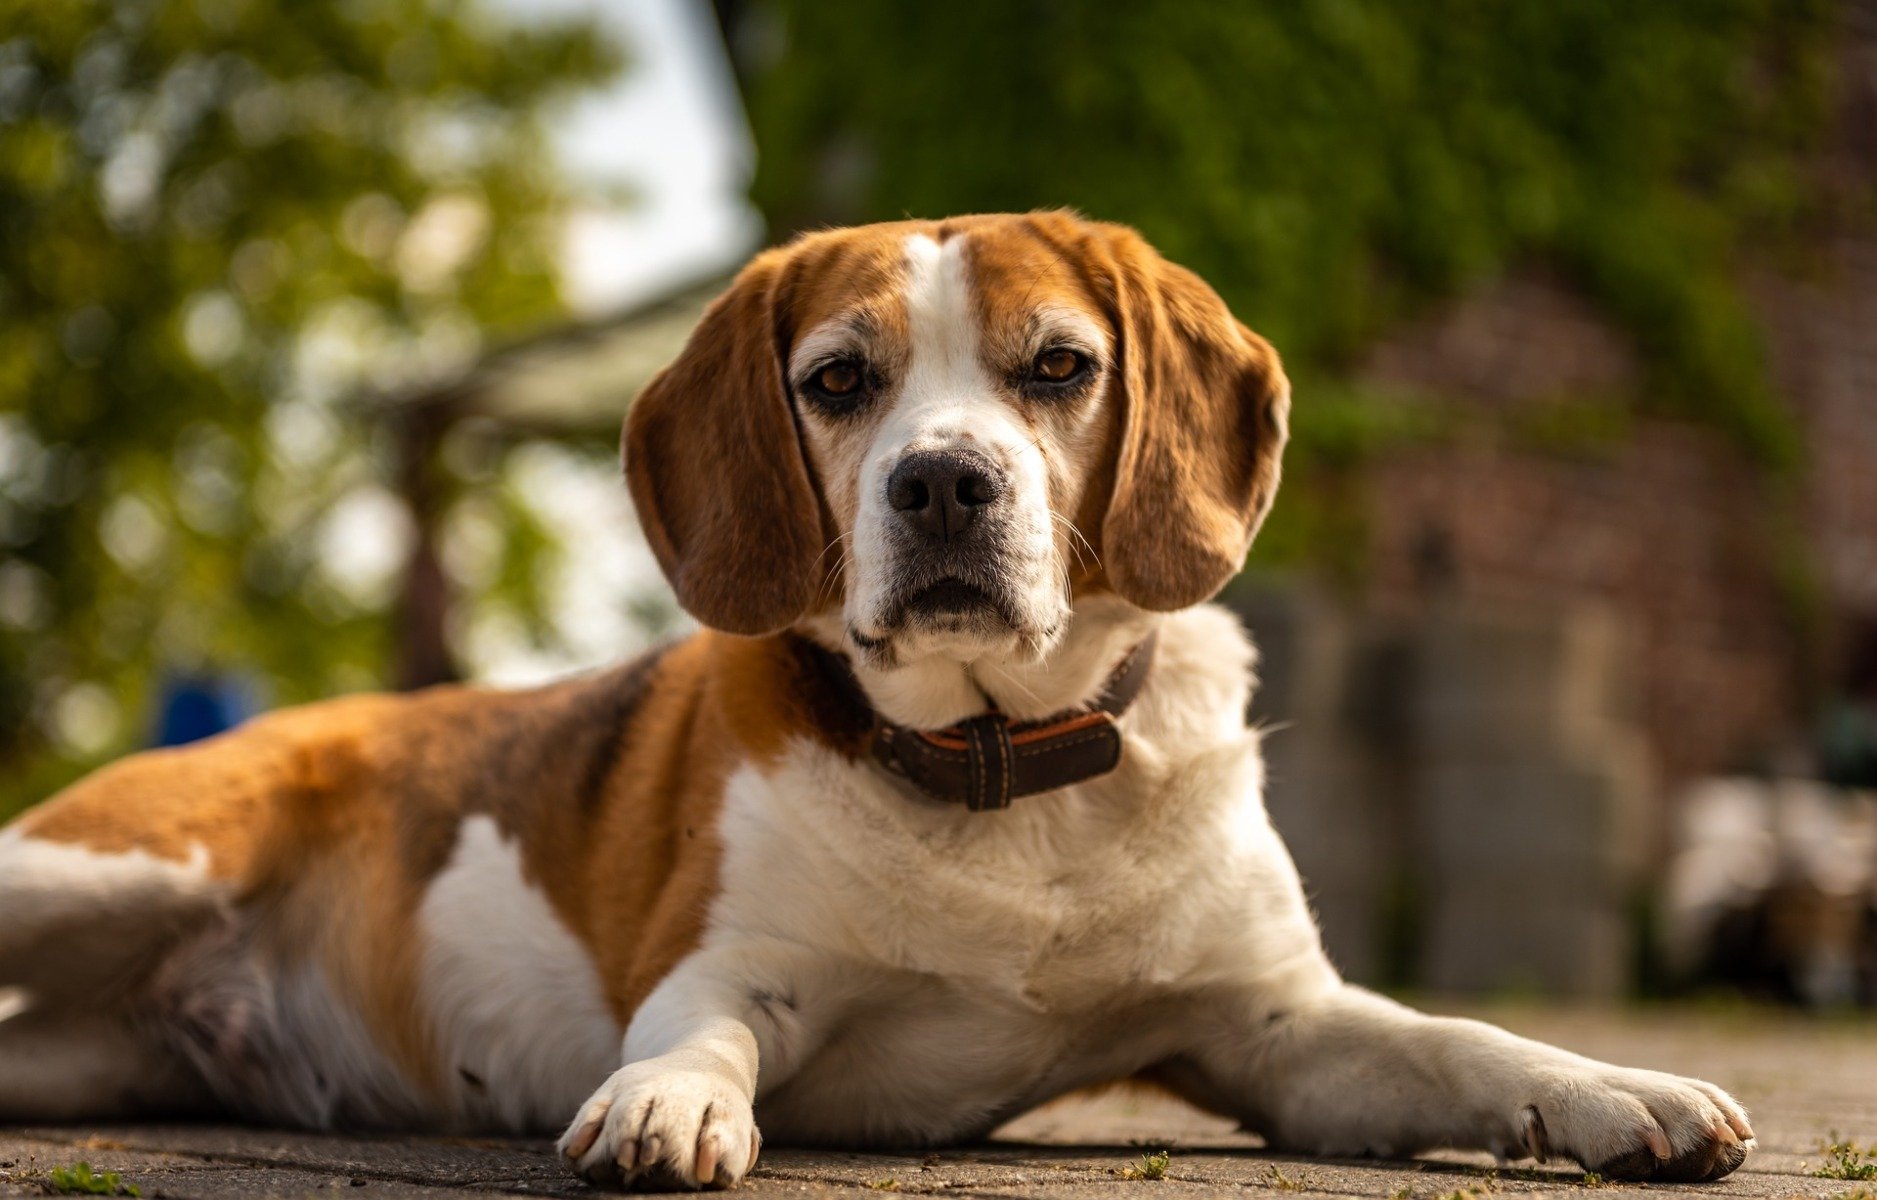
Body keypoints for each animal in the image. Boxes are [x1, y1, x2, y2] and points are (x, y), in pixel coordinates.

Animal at [0, 211, 1749, 1186]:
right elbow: (695, 1038)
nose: (943, 483)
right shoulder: (732, 971)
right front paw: (665, 1108)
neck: (995, 768)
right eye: (839, 381)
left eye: (1058, 367)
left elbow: (1466, 1046)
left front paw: (1616, 1094)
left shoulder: (1279, 1032)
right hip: (108, 870)